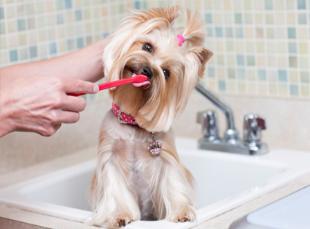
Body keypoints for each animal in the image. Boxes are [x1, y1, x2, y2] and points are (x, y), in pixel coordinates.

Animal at [88, 6, 212, 228]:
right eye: (147, 47)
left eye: (166, 72)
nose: (147, 70)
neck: (132, 123)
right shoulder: (110, 158)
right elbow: (117, 191)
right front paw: (120, 216)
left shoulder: (167, 158)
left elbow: (173, 183)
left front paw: (181, 213)